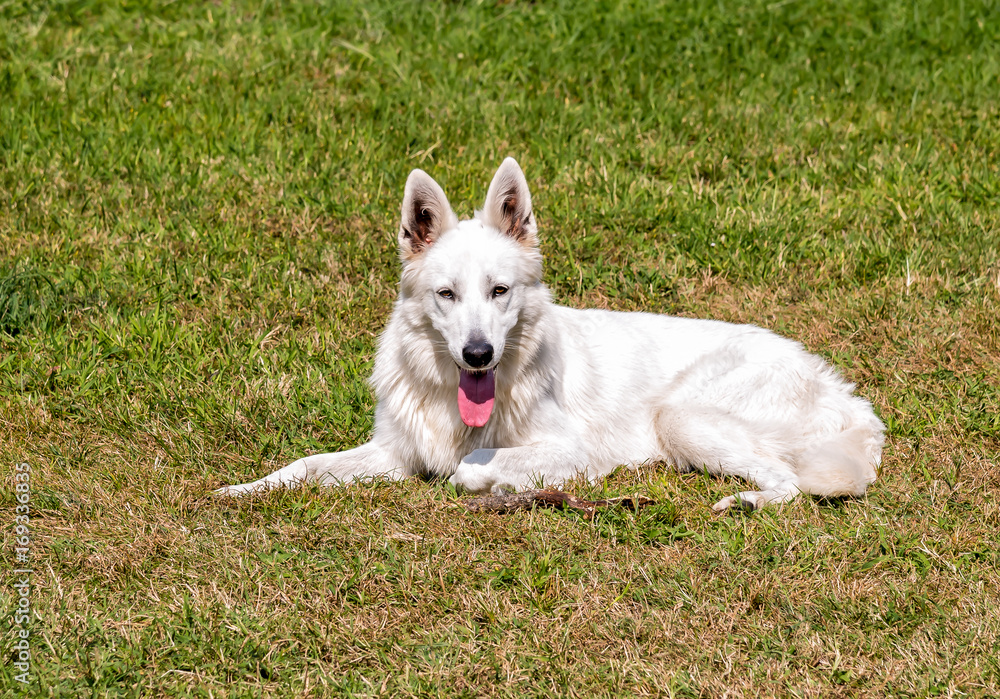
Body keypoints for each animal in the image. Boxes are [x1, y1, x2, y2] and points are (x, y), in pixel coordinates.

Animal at [221, 159, 884, 512]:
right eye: (446, 294)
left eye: (499, 291)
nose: (478, 354)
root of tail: (841, 389)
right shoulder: (393, 453)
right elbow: (304, 466)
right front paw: (243, 489)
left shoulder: (573, 450)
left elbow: (471, 467)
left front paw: (498, 482)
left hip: (682, 416)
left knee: (789, 484)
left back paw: (741, 504)